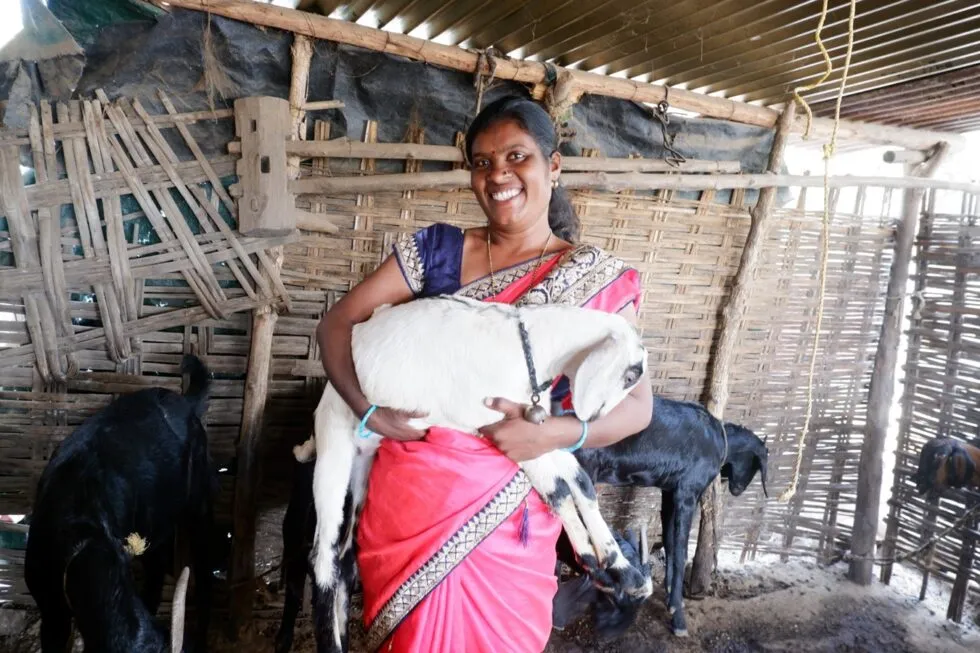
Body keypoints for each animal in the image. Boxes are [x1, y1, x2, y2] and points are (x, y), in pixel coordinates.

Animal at [572, 394, 768, 636]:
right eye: (755, 465)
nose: (738, 489)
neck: (719, 439)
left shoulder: (668, 491)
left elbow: (669, 541)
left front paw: (670, 595)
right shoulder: (687, 492)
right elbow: (681, 550)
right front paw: (678, 615)